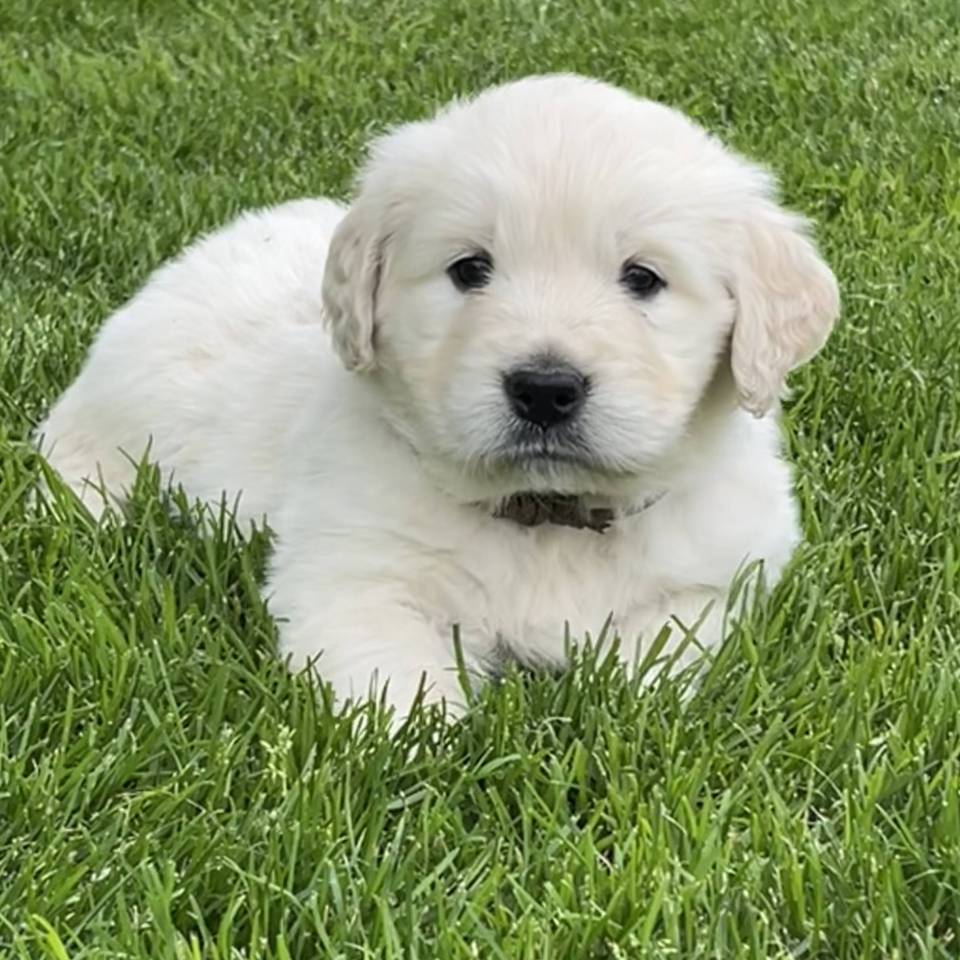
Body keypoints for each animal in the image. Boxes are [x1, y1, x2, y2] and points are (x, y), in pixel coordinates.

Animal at [37, 75, 836, 716]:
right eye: (469, 269)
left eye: (643, 278)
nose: (544, 389)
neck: (545, 520)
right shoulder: (351, 569)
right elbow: (391, 681)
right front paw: (415, 746)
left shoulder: (723, 578)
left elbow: (658, 654)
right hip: (122, 410)